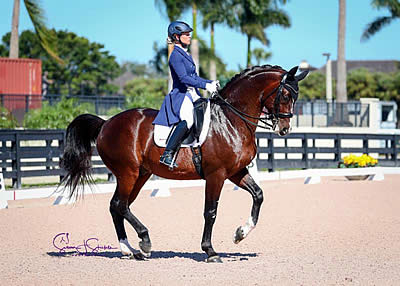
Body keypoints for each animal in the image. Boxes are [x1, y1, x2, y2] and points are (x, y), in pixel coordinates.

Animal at [60, 65, 310, 264]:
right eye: (285, 95)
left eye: (295, 96)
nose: (285, 129)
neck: (231, 119)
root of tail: (105, 123)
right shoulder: (216, 174)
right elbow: (210, 212)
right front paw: (210, 251)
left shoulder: (236, 171)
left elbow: (258, 195)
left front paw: (240, 233)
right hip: (127, 173)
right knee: (120, 205)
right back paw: (144, 241)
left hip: (139, 175)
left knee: (118, 206)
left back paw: (131, 249)